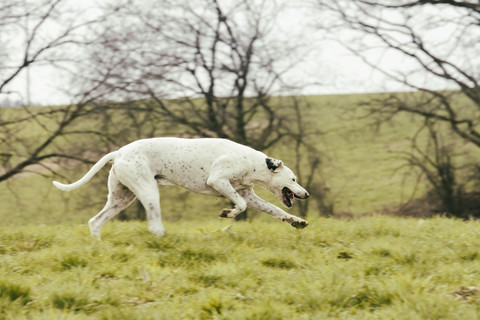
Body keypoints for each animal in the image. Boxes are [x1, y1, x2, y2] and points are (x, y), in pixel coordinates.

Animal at [51, 136, 308, 239]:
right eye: (294, 179)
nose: (306, 194)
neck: (251, 162)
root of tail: (119, 152)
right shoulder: (219, 181)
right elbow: (241, 206)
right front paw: (229, 212)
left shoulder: (248, 193)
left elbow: (278, 211)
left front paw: (297, 221)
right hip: (148, 193)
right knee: (154, 225)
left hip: (120, 199)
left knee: (95, 222)